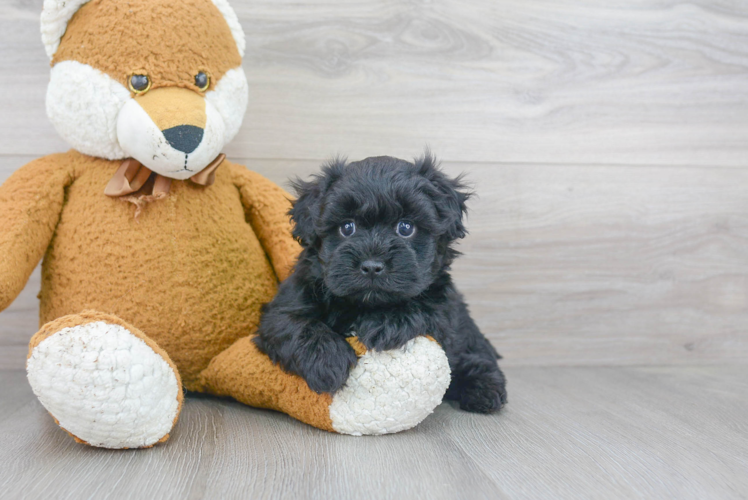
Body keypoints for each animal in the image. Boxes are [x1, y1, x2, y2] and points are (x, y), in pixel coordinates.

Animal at [254, 154, 506, 412]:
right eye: (347, 227)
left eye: (405, 227)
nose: (372, 266)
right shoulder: (283, 308)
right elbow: (294, 324)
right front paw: (328, 360)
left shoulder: (443, 306)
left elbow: (423, 308)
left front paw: (386, 323)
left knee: (474, 355)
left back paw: (483, 389)